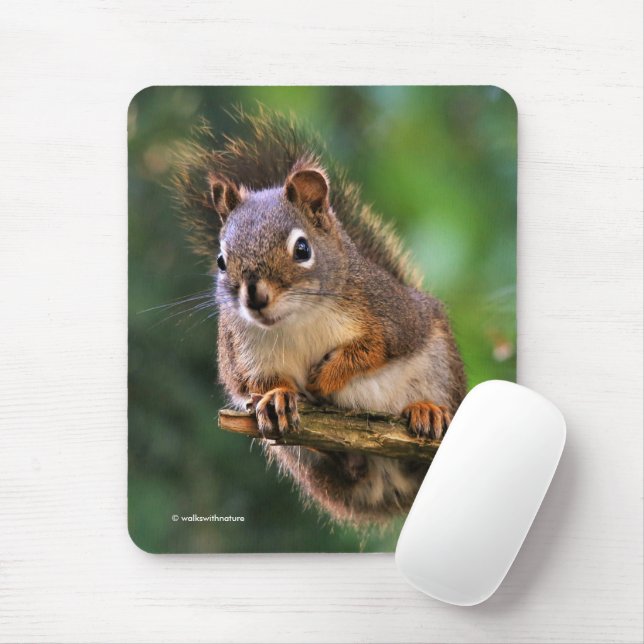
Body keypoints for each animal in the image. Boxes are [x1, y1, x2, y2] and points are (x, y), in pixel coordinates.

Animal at [171, 107, 467, 525]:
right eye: (221, 261)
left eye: (302, 249)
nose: (255, 297)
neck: (295, 321)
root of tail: (391, 491)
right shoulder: (238, 354)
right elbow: (251, 384)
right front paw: (277, 397)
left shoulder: (392, 314)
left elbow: (375, 348)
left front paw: (327, 376)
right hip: (301, 459)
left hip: (440, 365)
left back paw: (427, 412)